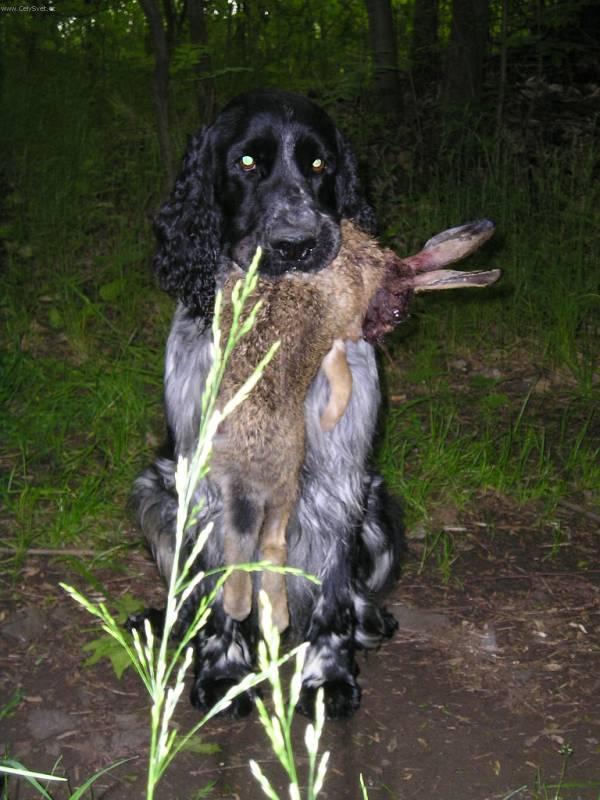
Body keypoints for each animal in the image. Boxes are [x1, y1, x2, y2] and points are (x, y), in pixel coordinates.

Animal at [134, 89, 406, 720]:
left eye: (320, 164)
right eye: (247, 162)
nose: (297, 244)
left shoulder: (338, 477)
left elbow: (331, 592)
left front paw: (327, 677)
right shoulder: (206, 487)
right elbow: (220, 592)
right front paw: (224, 672)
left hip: (381, 510)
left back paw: (368, 622)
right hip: (156, 494)